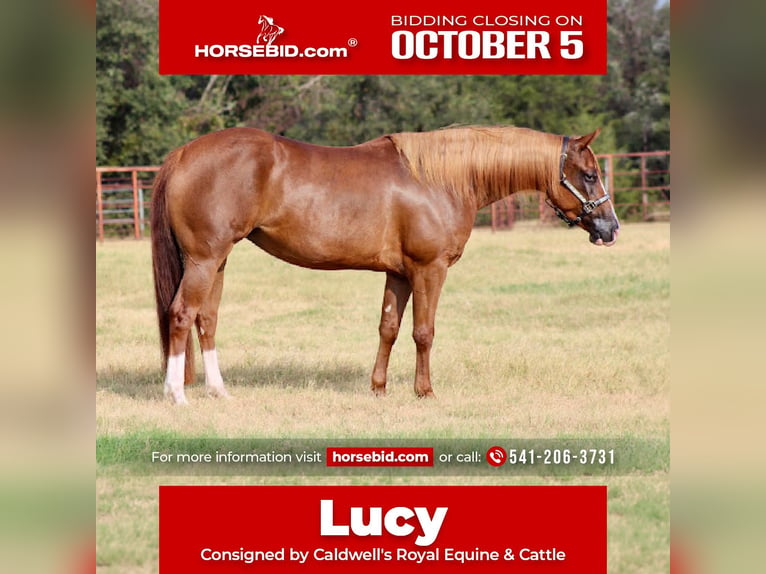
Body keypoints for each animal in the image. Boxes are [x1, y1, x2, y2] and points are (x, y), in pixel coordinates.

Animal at [151, 126, 619, 404]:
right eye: (590, 174)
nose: (610, 228)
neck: (441, 179)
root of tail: (184, 153)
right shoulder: (430, 269)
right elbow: (424, 332)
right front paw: (424, 391)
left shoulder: (399, 273)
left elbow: (389, 328)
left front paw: (378, 388)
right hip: (204, 260)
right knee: (181, 315)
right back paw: (176, 393)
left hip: (218, 262)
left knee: (207, 320)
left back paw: (219, 391)